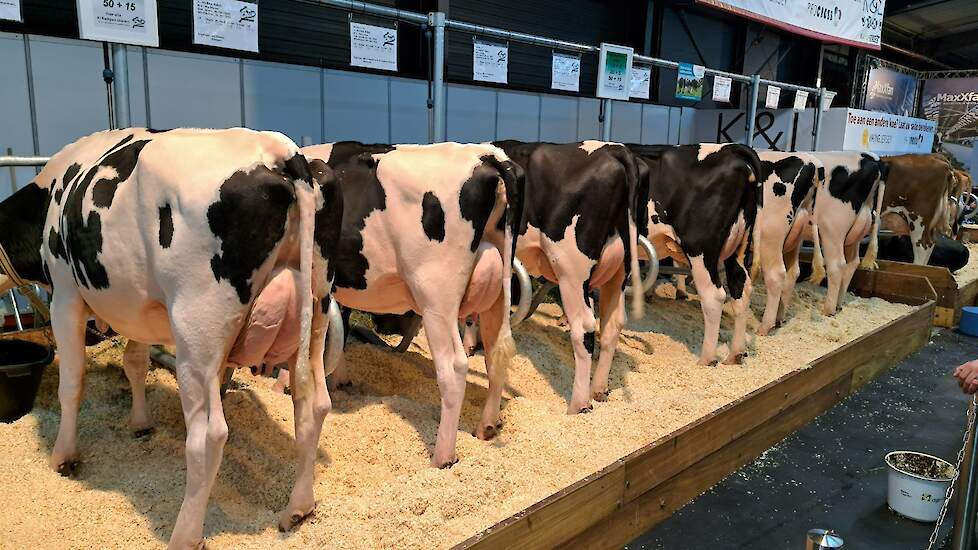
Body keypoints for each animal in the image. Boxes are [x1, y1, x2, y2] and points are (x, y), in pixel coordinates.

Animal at [0, 127, 344, 548]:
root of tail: (281, 150)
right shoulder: (141, 310)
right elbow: (134, 363)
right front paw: (140, 422)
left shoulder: (65, 294)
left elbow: (72, 383)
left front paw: (64, 456)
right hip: (316, 310)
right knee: (314, 405)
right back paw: (298, 508)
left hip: (198, 332)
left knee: (209, 435)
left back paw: (185, 534)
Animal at [302, 141, 524, 466]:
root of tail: (485, 155)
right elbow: (339, 326)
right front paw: (341, 379)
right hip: (499, 287)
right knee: (497, 352)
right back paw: (486, 427)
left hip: (435, 296)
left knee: (453, 367)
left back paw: (442, 457)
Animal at [624, 143, 764, 366]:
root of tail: (730, 149)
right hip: (739, 248)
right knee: (740, 288)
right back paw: (734, 355)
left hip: (699, 247)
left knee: (714, 297)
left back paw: (706, 360)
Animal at [752, 151, 820, 338]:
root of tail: (810, 161)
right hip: (795, 238)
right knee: (793, 273)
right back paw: (779, 319)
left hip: (770, 237)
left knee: (776, 275)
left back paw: (764, 327)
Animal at [804, 152, 888, 314]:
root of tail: (872, 159)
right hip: (856, 233)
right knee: (852, 263)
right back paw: (838, 305)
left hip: (832, 230)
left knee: (836, 266)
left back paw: (828, 310)